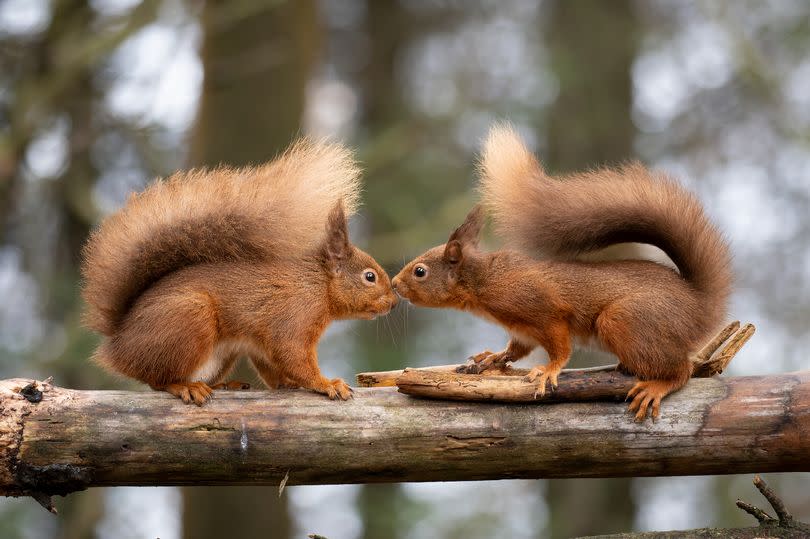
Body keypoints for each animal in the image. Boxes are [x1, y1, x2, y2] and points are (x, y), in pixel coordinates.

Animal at [81, 139, 394, 404]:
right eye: (370, 277)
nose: (393, 302)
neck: (318, 285)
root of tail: (119, 343)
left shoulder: (261, 344)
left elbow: (273, 367)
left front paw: (288, 384)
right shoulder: (294, 316)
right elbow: (293, 356)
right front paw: (327, 383)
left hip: (223, 353)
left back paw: (222, 385)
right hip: (189, 317)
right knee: (158, 379)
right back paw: (186, 386)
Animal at [392, 126, 732, 422]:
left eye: (420, 272)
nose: (394, 284)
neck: (484, 281)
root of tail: (698, 305)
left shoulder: (544, 310)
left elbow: (561, 347)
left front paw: (548, 370)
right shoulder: (522, 330)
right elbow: (516, 349)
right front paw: (492, 358)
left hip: (626, 319)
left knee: (682, 371)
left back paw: (657, 386)